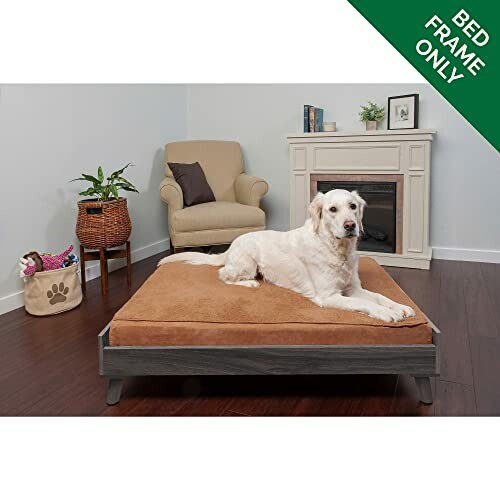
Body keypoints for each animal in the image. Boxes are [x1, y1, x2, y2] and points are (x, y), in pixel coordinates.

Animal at [160, 189, 414, 322]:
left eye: (353, 206)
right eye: (332, 209)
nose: (351, 226)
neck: (335, 248)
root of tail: (233, 244)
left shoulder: (353, 288)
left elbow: (379, 296)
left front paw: (399, 307)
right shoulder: (329, 296)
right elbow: (363, 304)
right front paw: (386, 313)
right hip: (247, 263)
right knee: (224, 275)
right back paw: (249, 284)